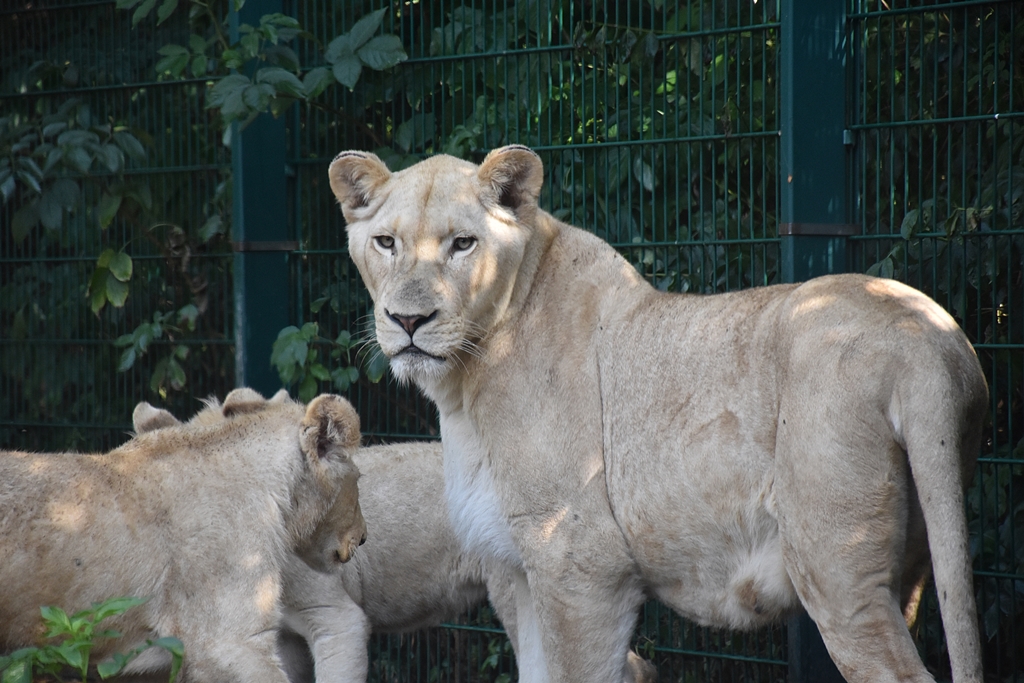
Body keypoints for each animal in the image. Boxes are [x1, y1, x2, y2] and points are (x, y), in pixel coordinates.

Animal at [327, 145, 989, 683]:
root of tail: (923, 336)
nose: (408, 321)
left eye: (463, 243)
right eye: (386, 242)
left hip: (837, 565)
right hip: (910, 562)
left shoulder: (580, 564)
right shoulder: (518, 571)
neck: (464, 386)